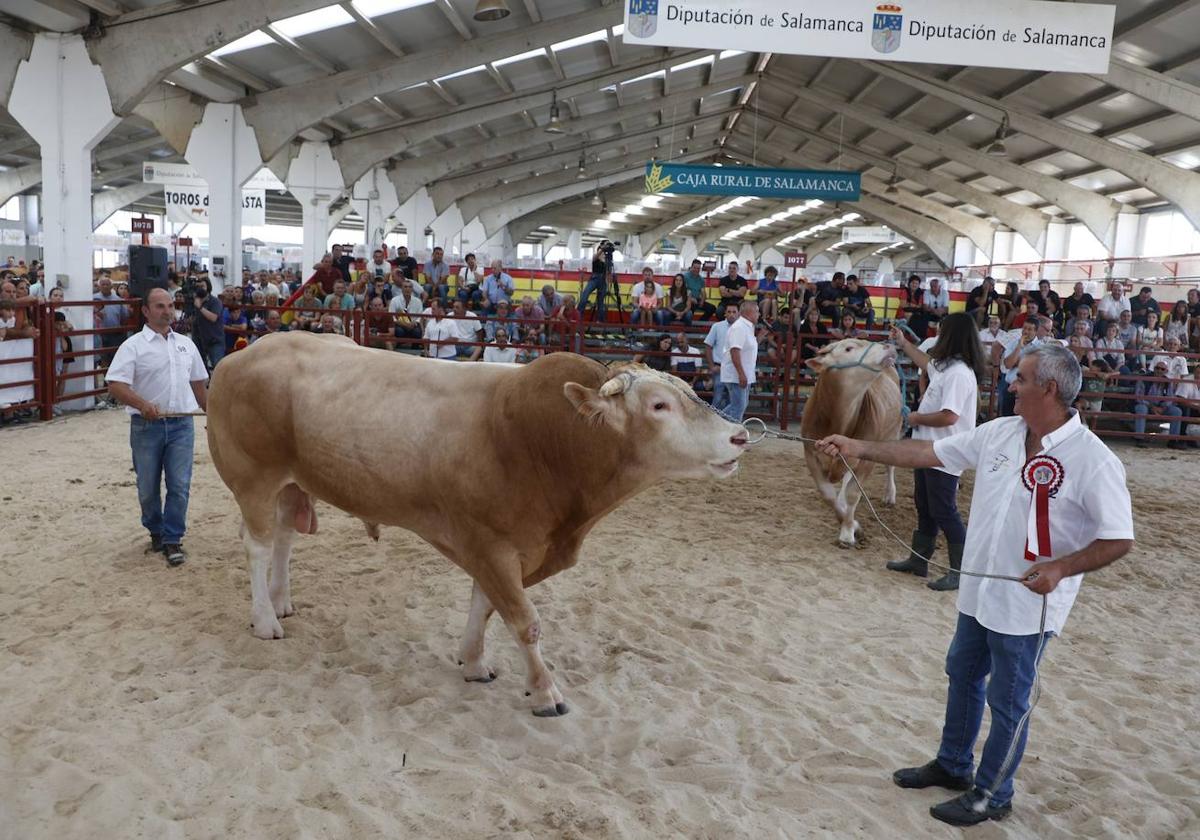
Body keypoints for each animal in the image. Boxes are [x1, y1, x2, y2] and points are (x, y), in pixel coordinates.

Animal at [207, 333, 748, 715]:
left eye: (690, 392)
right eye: (659, 405)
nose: (740, 436)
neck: (540, 439)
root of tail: (241, 354)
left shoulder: (499, 546)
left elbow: (485, 606)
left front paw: (473, 661)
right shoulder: (490, 546)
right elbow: (524, 620)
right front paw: (544, 691)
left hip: (290, 482)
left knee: (283, 537)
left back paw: (280, 598)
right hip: (254, 478)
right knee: (257, 545)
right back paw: (265, 618)